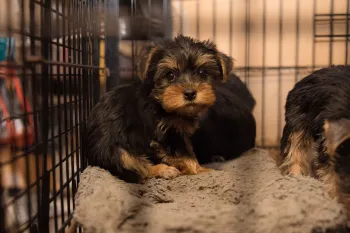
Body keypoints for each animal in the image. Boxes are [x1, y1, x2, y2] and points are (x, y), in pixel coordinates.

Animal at [84, 35, 232, 183]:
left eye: (202, 72)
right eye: (170, 75)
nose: (190, 93)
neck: (160, 101)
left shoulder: (178, 131)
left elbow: (188, 148)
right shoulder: (166, 131)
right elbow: (185, 154)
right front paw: (201, 170)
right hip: (113, 150)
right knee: (137, 167)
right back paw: (163, 170)